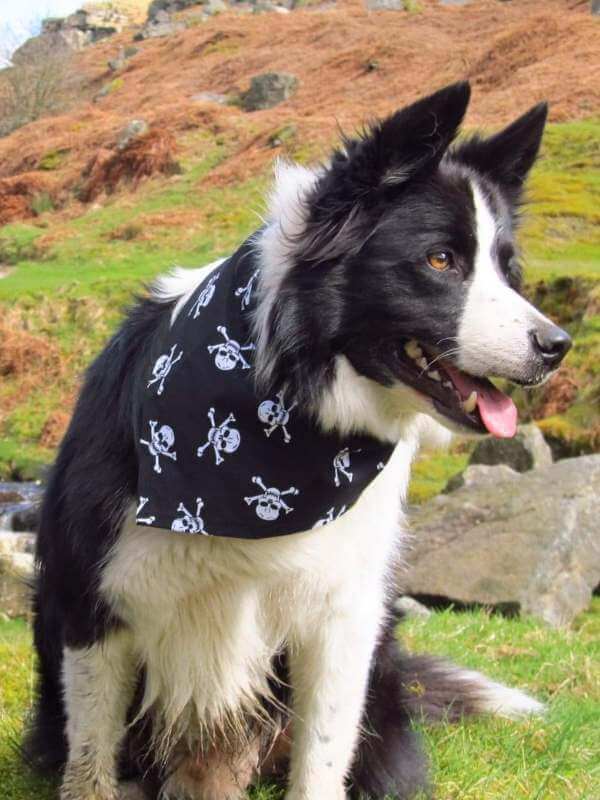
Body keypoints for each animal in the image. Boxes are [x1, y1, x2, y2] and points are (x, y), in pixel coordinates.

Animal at [27, 83, 572, 800]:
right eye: (440, 260)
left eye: (508, 271)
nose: (557, 346)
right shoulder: (94, 603)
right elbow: (91, 759)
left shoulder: (343, 614)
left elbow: (322, 753)